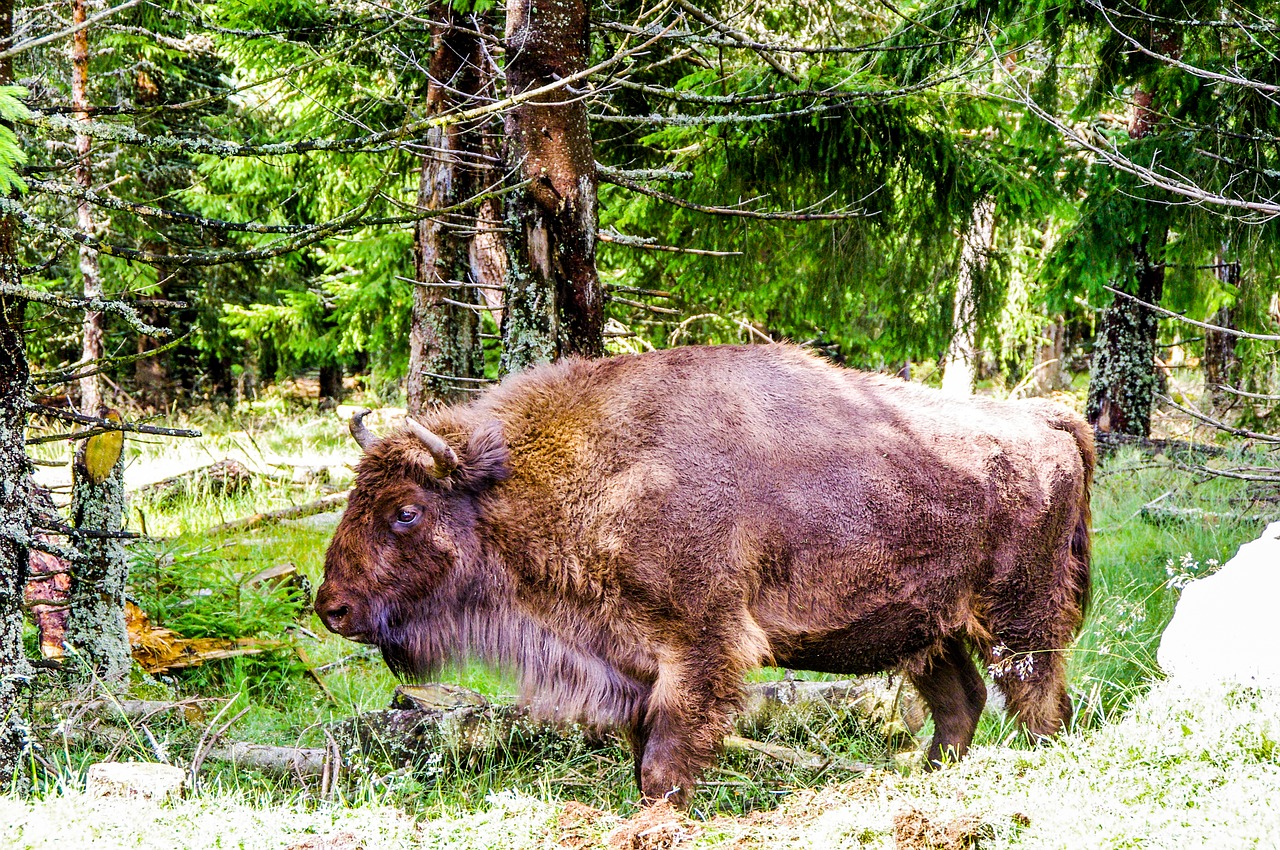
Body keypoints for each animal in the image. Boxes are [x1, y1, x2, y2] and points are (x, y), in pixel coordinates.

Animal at [317, 343, 1093, 805]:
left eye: (405, 511)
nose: (331, 608)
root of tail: (1048, 421)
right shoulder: (633, 663)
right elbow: (643, 748)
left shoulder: (699, 645)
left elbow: (667, 755)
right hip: (927, 632)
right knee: (962, 703)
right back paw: (925, 783)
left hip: (1020, 622)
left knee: (1041, 707)